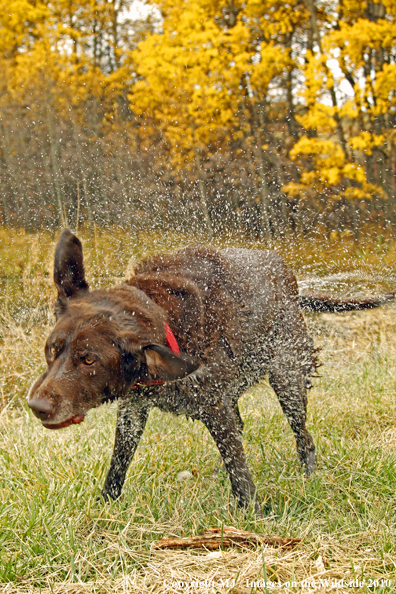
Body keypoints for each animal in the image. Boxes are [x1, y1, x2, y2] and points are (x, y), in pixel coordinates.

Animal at [27, 229, 390, 512]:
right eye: (51, 350)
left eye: (89, 360)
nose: (37, 407)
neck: (169, 322)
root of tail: (292, 282)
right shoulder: (134, 409)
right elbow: (119, 462)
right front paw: (106, 505)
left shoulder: (214, 405)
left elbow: (239, 470)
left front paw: (252, 515)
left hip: (287, 377)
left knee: (303, 436)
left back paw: (310, 476)